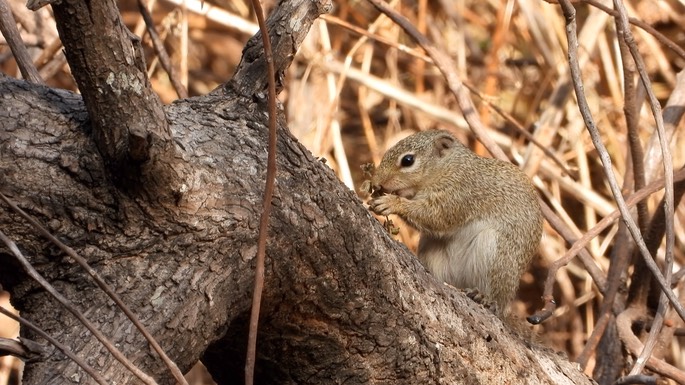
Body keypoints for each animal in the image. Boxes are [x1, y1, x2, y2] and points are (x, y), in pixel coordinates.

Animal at [366, 129, 544, 316]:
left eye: (408, 160)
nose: (377, 183)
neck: (449, 168)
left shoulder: (460, 194)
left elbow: (436, 216)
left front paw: (392, 203)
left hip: (496, 253)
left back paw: (486, 298)